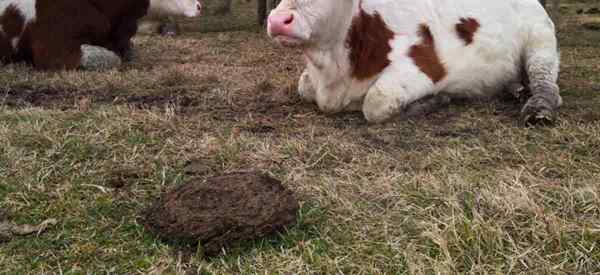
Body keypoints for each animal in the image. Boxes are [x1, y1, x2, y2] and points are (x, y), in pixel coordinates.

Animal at [268, 0, 564, 124]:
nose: (277, 20)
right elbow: (303, 86)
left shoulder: (424, 64)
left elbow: (375, 103)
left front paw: (436, 100)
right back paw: (515, 89)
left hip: (541, 39)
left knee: (547, 83)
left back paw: (539, 107)